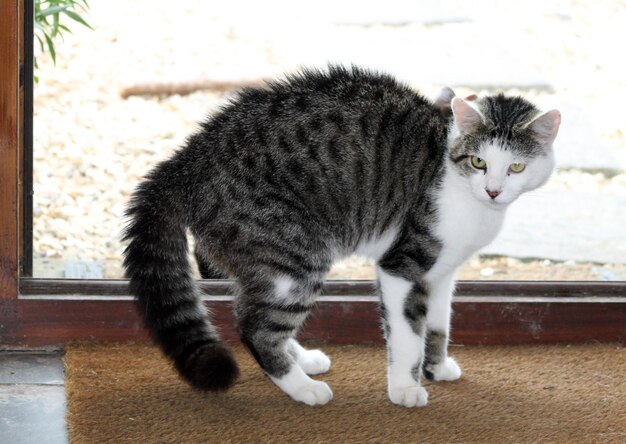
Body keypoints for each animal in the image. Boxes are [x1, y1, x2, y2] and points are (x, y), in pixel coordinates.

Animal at [123, 64, 560, 408]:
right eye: (479, 161)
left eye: (517, 167)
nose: (494, 191)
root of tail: (186, 160)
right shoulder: (402, 266)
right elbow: (407, 332)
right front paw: (405, 387)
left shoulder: (442, 273)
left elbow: (438, 325)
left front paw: (435, 366)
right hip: (295, 257)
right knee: (255, 328)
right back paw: (302, 387)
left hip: (266, 265)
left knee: (253, 310)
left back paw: (302, 360)